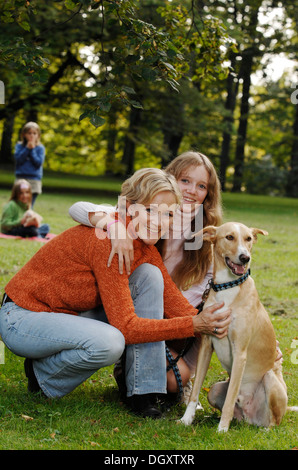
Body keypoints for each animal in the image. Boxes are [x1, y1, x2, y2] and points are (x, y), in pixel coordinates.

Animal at [179, 222, 292, 432]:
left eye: (248, 239)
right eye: (229, 237)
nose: (245, 257)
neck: (228, 286)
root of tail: (250, 418)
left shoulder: (240, 352)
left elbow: (230, 401)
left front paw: (222, 430)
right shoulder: (206, 346)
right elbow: (195, 391)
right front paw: (186, 419)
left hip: (269, 379)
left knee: (273, 422)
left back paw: (263, 430)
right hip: (215, 390)